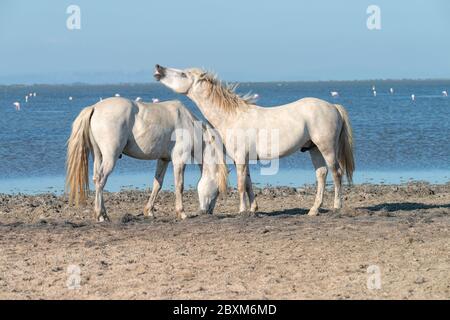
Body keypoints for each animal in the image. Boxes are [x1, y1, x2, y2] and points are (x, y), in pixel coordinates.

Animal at [66, 97, 229, 222]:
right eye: (217, 190)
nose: (208, 211)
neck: (187, 123)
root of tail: (94, 107)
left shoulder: (163, 159)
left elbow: (157, 184)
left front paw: (149, 211)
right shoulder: (179, 160)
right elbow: (179, 185)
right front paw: (181, 212)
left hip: (98, 155)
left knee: (97, 179)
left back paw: (104, 215)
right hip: (110, 157)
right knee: (101, 180)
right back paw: (99, 215)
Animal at [155, 64, 356, 215]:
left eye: (183, 73)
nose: (158, 68)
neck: (232, 117)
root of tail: (333, 106)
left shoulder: (240, 158)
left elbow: (240, 184)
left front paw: (242, 210)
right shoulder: (244, 158)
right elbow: (248, 183)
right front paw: (253, 209)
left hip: (327, 148)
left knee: (336, 173)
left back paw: (337, 206)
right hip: (313, 149)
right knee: (321, 174)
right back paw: (314, 210)